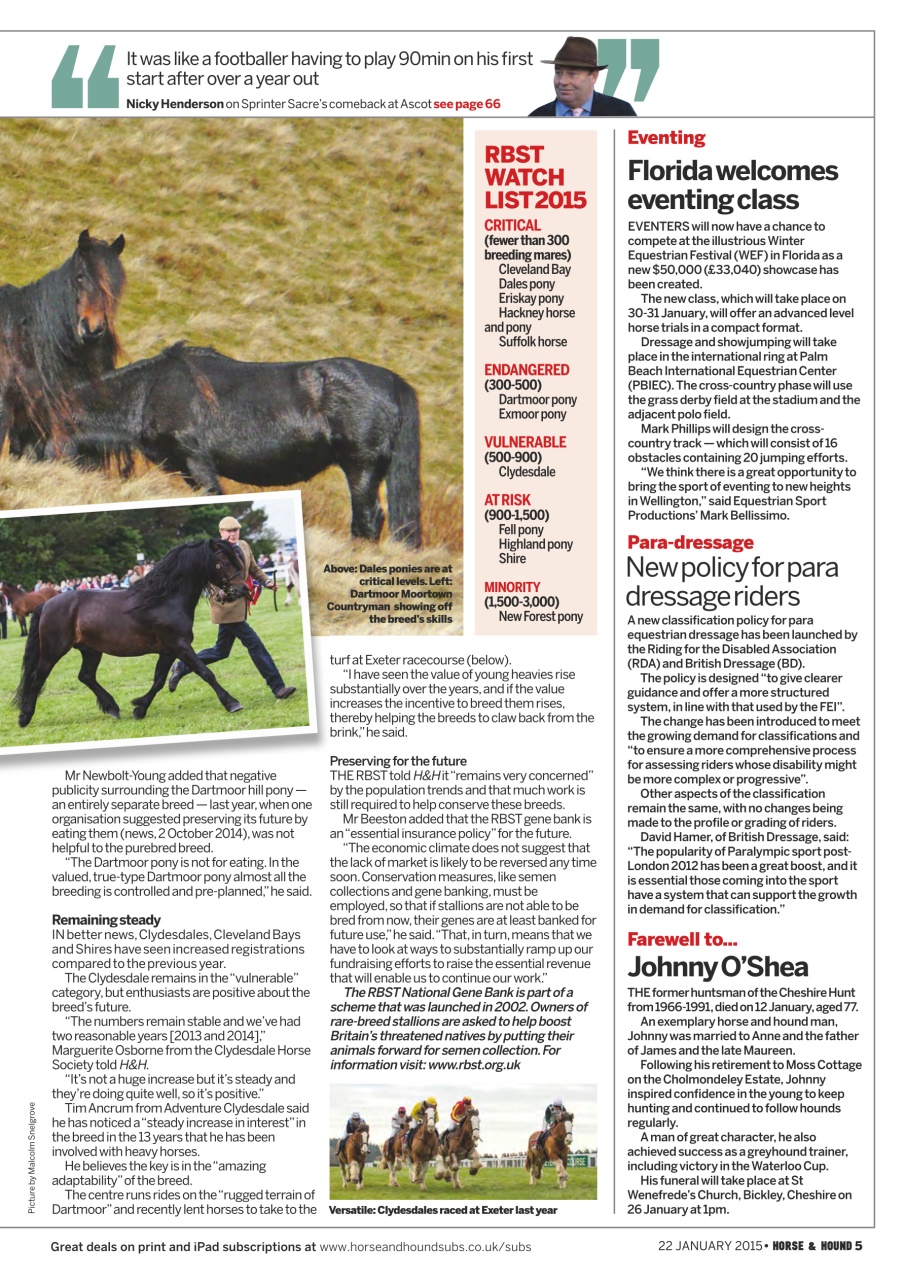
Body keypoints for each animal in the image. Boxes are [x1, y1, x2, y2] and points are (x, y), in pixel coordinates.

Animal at [13, 539, 250, 728]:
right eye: (225, 563)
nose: (244, 589)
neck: (164, 599)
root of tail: (47, 603)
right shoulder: (179, 645)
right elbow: (205, 672)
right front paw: (232, 702)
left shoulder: (168, 650)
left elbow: (159, 680)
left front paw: (139, 708)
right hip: (53, 650)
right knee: (37, 678)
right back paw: (25, 717)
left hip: (91, 650)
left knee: (86, 676)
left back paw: (112, 707)